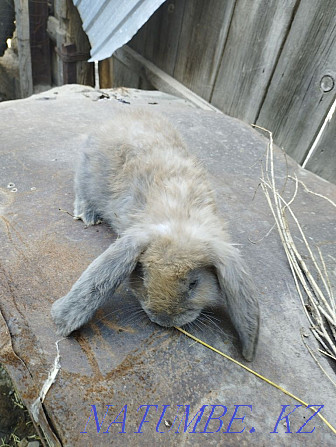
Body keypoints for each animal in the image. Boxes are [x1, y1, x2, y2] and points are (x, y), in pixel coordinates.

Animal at [50, 107, 260, 360]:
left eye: (194, 284)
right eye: (143, 275)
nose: (164, 320)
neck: (180, 217)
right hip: (87, 173)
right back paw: (87, 214)